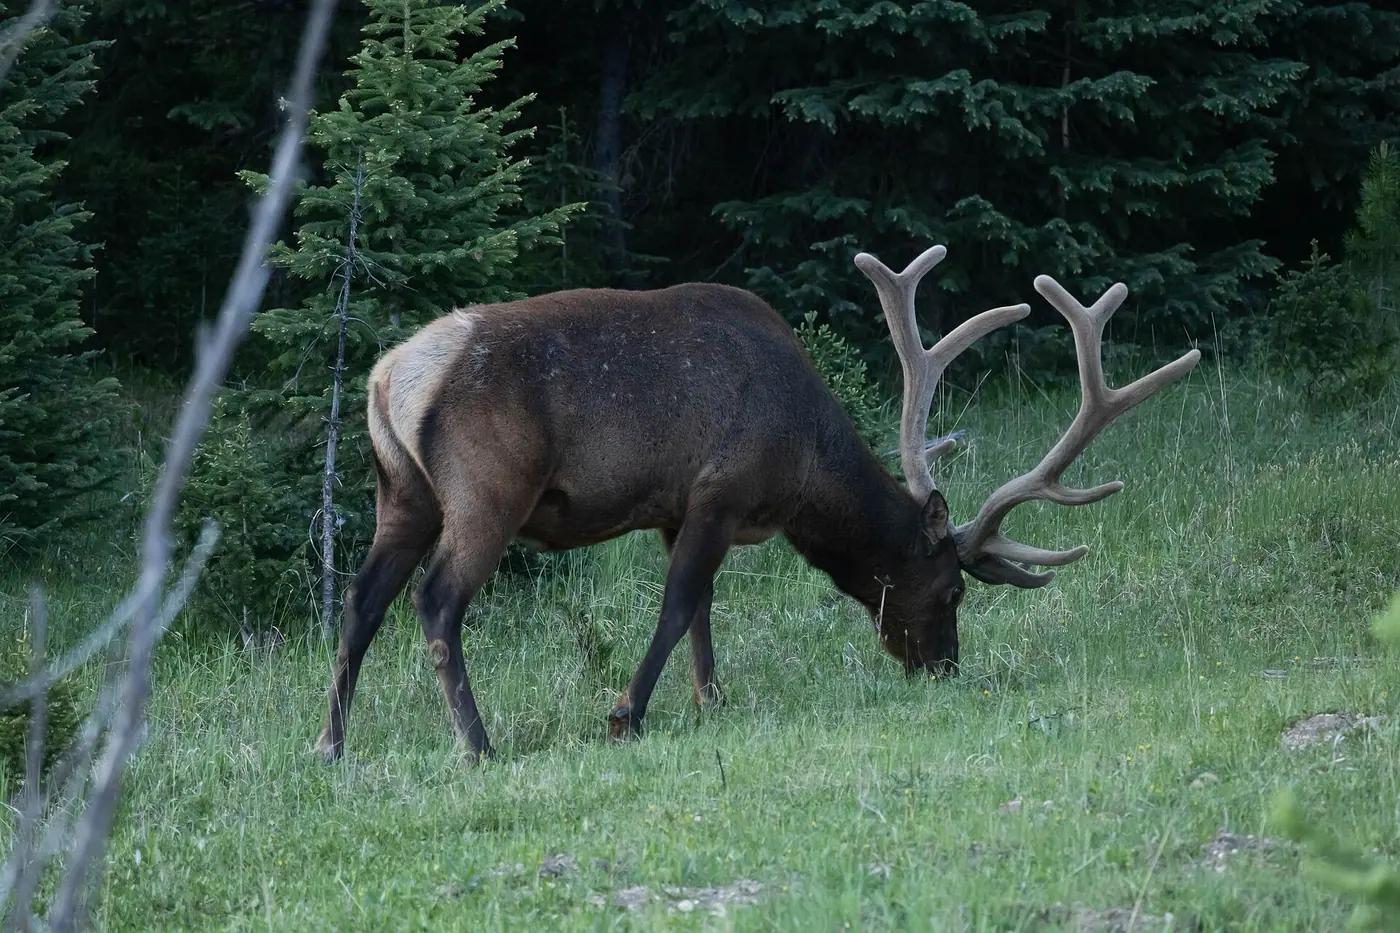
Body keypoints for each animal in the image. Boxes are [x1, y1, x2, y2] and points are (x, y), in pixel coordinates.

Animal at [315, 243, 1201, 762]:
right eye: (950, 589)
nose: (943, 666)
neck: (803, 465)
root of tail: (388, 377)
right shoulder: (719, 488)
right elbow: (679, 604)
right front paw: (626, 714)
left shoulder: (678, 507)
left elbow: (703, 610)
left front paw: (712, 699)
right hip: (488, 489)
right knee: (436, 600)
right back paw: (478, 744)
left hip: (401, 494)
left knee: (360, 600)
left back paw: (329, 743)